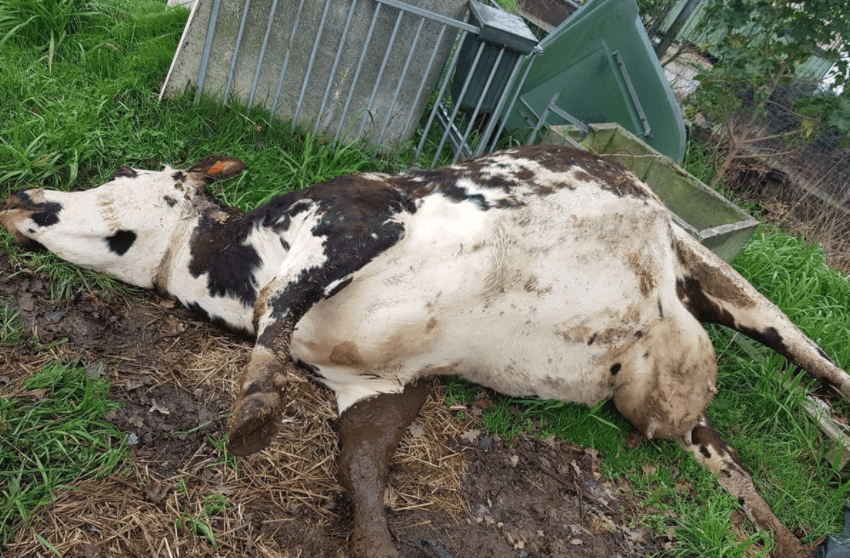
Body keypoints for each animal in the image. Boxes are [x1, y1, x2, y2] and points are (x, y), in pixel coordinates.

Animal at [2, 144, 847, 558]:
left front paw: (254, 410)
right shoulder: (375, 383)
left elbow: (282, 303)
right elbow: (360, 470)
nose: (20, 195)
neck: (230, 270)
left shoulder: (360, 215)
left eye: (118, 172)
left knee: (821, 364)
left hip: (720, 277)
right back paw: (788, 539)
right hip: (678, 405)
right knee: (735, 473)